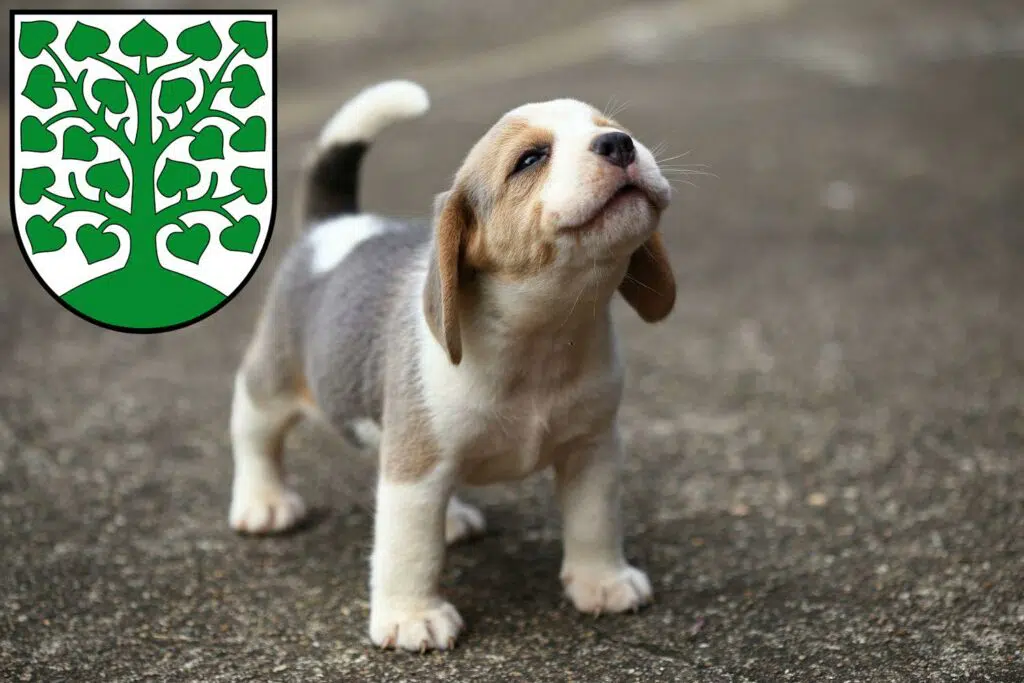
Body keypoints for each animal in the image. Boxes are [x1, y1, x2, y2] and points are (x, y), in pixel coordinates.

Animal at [233, 80, 679, 651]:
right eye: (530, 159)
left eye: (611, 128)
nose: (619, 145)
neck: (541, 335)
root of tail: (333, 225)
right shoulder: (415, 470)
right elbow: (409, 548)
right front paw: (411, 617)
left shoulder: (592, 449)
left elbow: (594, 521)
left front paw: (602, 581)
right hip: (271, 382)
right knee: (255, 434)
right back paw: (263, 501)